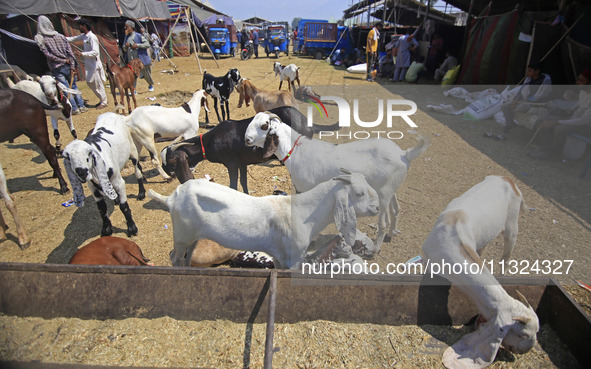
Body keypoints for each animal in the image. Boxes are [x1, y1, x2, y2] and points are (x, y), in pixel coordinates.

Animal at [148, 170, 380, 268]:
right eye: (359, 193)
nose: (377, 207)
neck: (305, 212)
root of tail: (171, 198)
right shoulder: (294, 257)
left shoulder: (279, 256)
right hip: (181, 235)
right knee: (174, 257)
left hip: (193, 237)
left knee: (185, 258)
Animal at [160, 105, 338, 193]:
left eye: (171, 162)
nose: (169, 176)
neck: (210, 141)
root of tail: (306, 121)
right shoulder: (242, 164)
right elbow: (243, 183)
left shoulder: (231, 164)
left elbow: (233, 185)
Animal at [243, 111, 432, 250]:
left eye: (264, 126)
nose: (247, 140)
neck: (297, 151)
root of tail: (404, 154)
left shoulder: (306, 188)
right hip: (391, 188)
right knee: (396, 209)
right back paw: (392, 232)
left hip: (384, 193)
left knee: (383, 221)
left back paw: (376, 247)